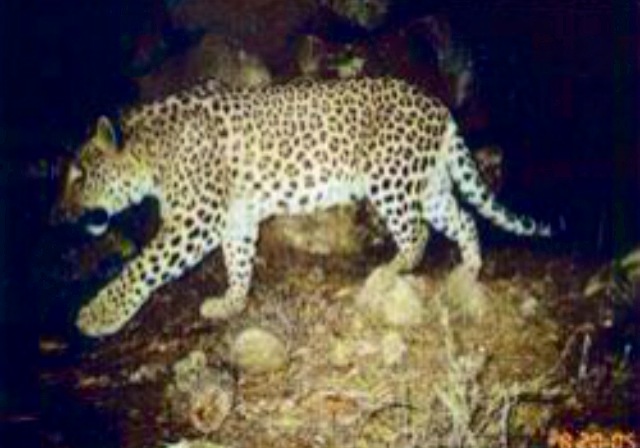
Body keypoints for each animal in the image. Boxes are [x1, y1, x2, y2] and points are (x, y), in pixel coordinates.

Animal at [54, 77, 550, 337]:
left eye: (79, 175)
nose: (59, 216)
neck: (151, 153)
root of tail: (440, 106)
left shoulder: (195, 220)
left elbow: (142, 267)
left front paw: (97, 315)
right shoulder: (235, 219)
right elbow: (238, 262)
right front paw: (231, 304)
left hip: (390, 180)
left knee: (417, 234)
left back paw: (388, 271)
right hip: (429, 185)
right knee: (464, 219)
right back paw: (469, 271)